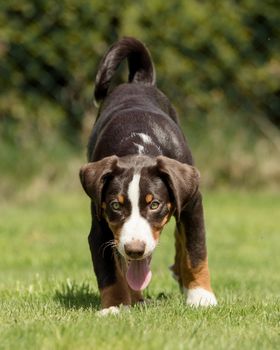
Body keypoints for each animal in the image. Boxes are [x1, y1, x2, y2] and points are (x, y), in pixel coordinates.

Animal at [80, 37, 218, 314]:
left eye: (154, 204)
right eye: (115, 205)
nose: (135, 249)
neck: (138, 147)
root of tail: (138, 83)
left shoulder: (193, 204)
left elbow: (196, 249)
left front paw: (201, 296)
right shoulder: (100, 224)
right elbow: (109, 270)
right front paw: (114, 306)